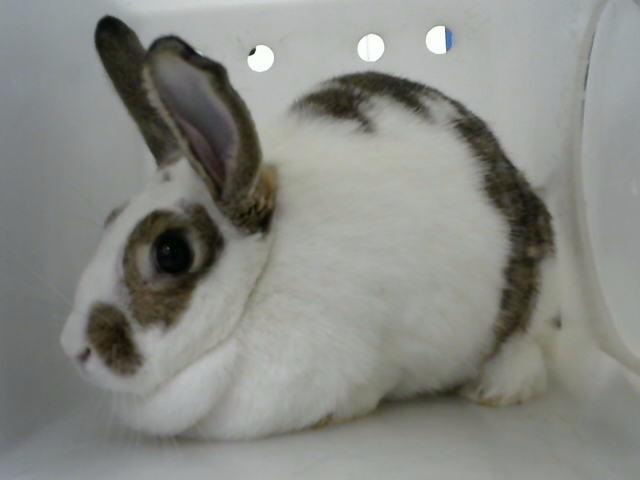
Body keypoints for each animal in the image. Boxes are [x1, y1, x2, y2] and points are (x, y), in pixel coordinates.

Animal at [60, 16, 640, 440]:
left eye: (171, 252)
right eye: (109, 221)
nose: (73, 350)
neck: (261, 278)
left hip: (531, 302)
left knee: (525, 350)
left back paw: (496, 391)